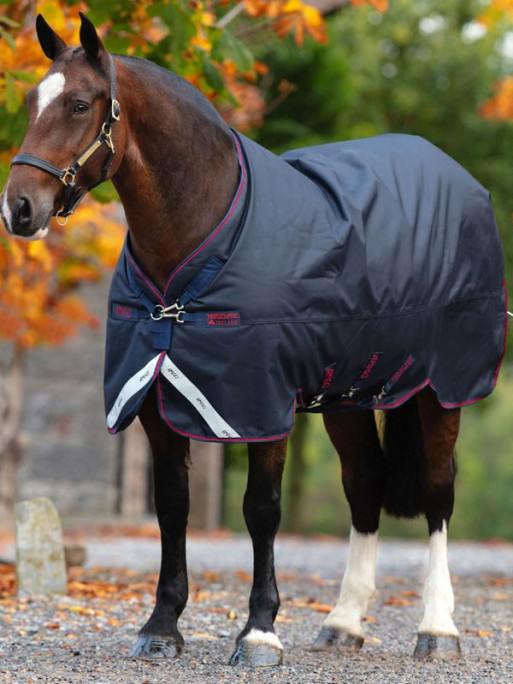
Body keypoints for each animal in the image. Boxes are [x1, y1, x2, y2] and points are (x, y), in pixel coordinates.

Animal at [1, 13, 508, 668]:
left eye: (80, 104)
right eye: (30, 101)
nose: (18, 209)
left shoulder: (260, 403)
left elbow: (262, 509)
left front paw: (260, 631)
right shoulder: (156, 403)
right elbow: (172, 506)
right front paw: (162, 626)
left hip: (441, 389)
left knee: (439, 493)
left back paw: (438, 628)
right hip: (348, 394)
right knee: (365, 484)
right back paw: (344, 622)